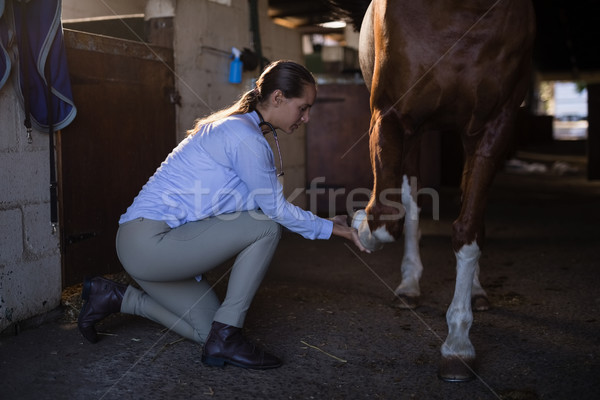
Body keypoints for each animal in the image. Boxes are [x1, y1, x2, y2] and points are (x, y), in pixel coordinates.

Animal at [332, 0, 536, 382]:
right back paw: (409, 286)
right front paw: (360, 226)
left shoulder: (495, 126)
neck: (459, 14)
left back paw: (476, 292)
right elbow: (386, 218)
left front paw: (458, 343)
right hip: (414, 136)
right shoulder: (391, 118)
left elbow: (468, 229)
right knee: (408, 207)